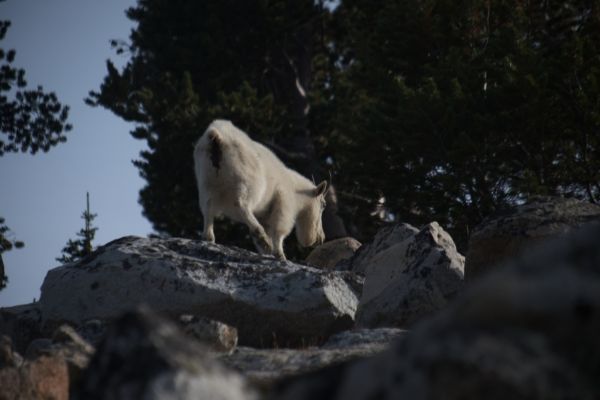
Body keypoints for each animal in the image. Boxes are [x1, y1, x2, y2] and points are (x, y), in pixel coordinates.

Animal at [193, 119, 328, 260]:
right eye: (323, 204)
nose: (321, 238)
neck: (296, 190)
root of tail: (216, 136)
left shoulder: (266, 215)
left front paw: (268, 251)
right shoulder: (284, 203)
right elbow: (279, 231)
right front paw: (279, 254)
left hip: (206, 181)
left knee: (207, 208)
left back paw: (209, 237)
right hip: (247, 183)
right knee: (241, 204)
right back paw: (262, 237)